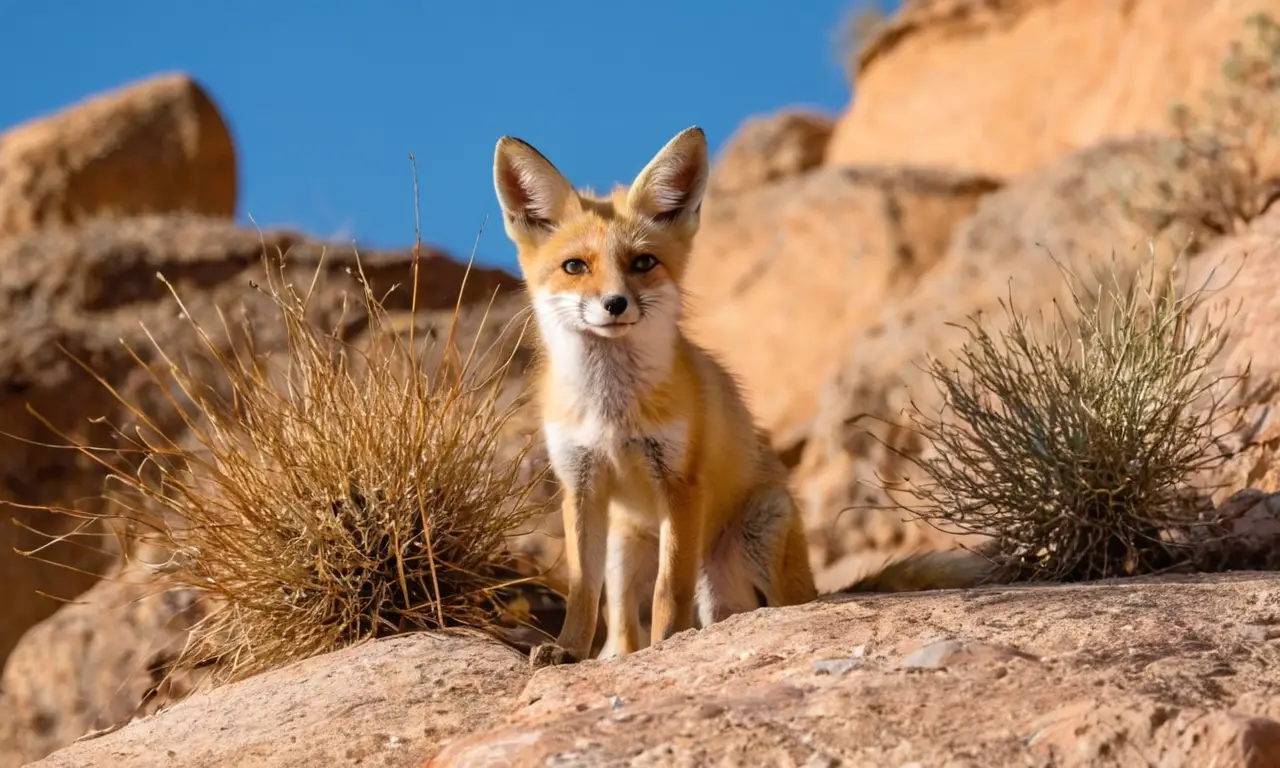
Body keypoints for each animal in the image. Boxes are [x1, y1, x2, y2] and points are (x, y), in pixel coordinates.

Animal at [492, 126, 818, 665]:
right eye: (575, 266)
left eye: (643, 262)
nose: (615, 303)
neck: (611, 413)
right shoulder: (581, 485)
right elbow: (582, 591)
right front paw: (567, 651)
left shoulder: (680, 484)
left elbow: (670, 590)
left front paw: (669, 644)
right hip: (624, 553)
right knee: (623, 627)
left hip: (760, 532)